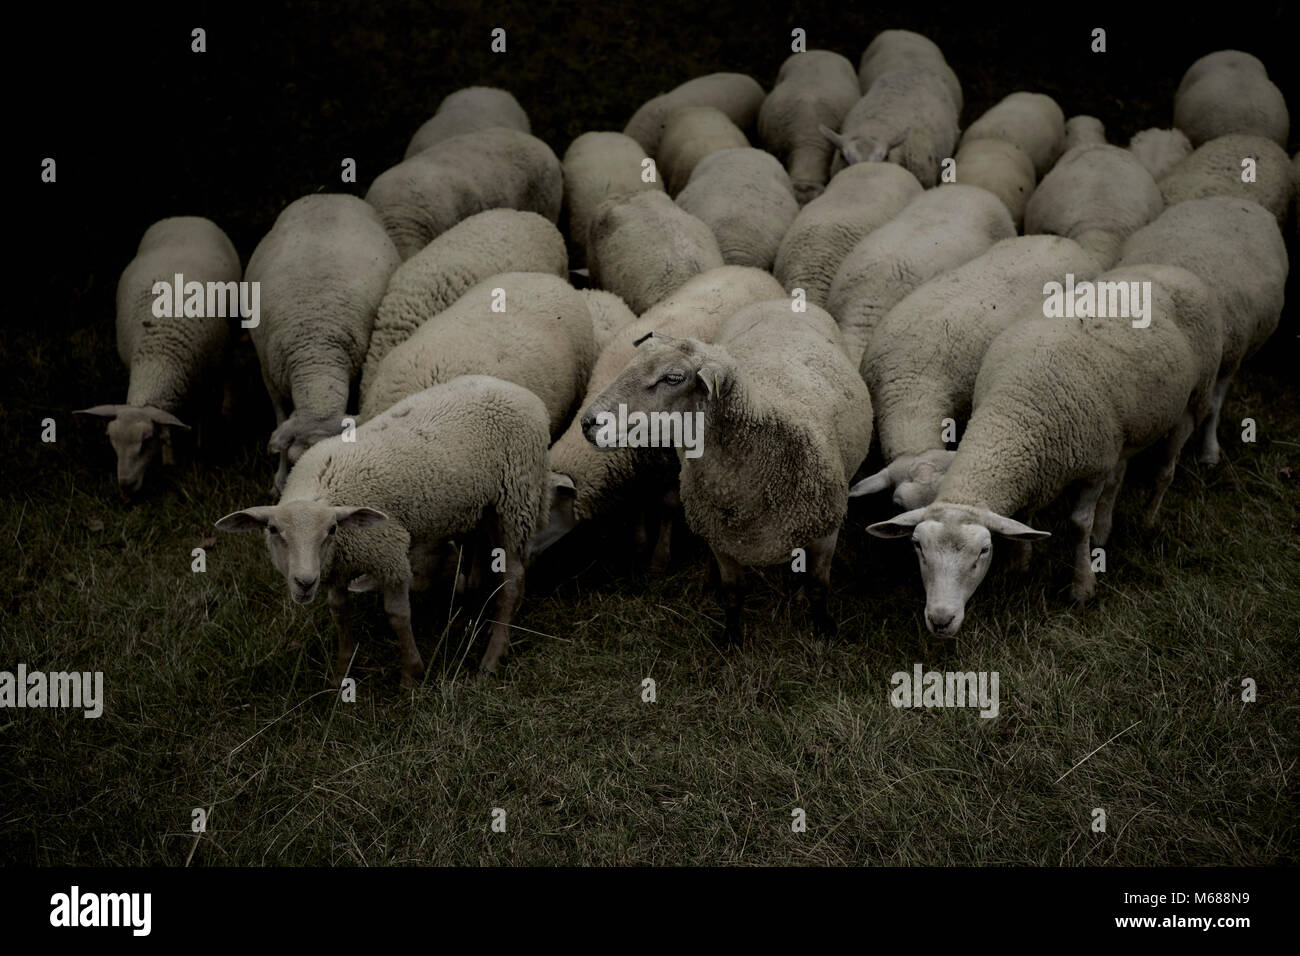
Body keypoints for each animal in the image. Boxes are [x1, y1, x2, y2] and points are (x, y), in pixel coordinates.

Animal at [77, 216, 241, 495]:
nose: (125, 487)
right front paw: (169, 458)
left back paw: (228, 408)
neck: (159, 354)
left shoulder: (202, 373)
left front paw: (199, 444)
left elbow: (198, 413)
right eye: (112, 442)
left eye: (145, 442)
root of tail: (186, 217)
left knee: (230, 371)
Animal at [215, 375, 551, 683]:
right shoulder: (338, 568)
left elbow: (398, 616)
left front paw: (412, 674)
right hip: (484, 505)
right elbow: (339, 613)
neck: (324, 487)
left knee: (514, 578)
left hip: (517, 497)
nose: (304, 582)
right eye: (273, 530)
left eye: (332, 529)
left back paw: (493, 653)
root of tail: (520, 391)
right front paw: (342, 671)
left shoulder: (389, 554)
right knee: (482, 545)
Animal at [536, 266, 785, 557]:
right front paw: (640, 541)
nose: (588, 423)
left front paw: (660, 555)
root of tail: (751, 269)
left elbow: (668, 505)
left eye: (543, 516)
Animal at [579, 300, 873, 642]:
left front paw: (824, 629)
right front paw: (731, 638)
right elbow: (734, 592)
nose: (588, 422)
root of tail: (779, 302)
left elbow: (817, 587)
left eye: (673, 378)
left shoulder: (826, 530)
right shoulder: (723, 540)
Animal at [863, 264, 1223, 634]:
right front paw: (1020, 566)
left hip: (1196, 394)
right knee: (1120, 472)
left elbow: (1078, 524)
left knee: (1166, 467)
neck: (1016, 409)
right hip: (1126, 429)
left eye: (984, 550)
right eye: (918, 545)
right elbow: (1022, 518)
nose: (940, 620)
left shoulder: (1093, 468)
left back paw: (1148, 519)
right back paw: (1104, 530)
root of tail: (1173, 268)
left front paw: (1082, 585)